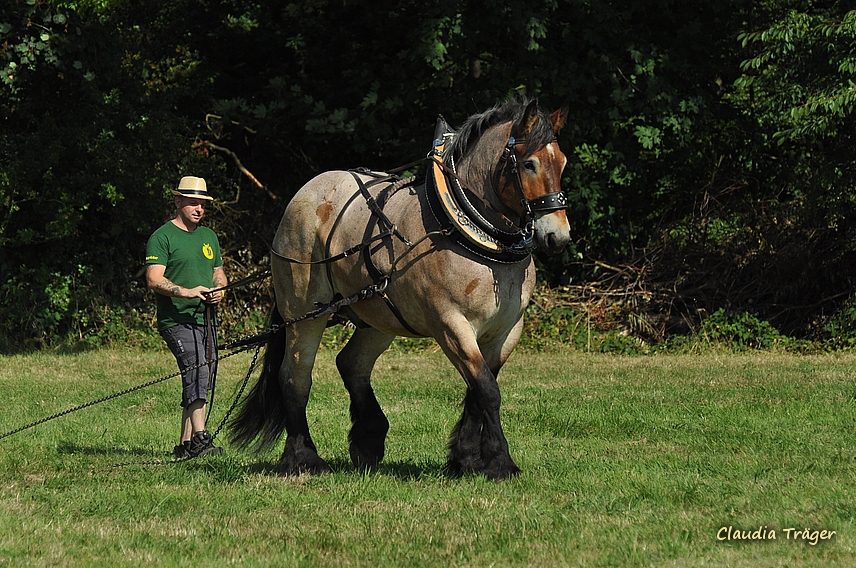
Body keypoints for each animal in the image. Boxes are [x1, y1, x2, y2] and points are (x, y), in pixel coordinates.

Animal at [231, 98, 572, 480]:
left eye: (562, 162)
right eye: (529, 164)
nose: (558, 237)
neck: (469, 234)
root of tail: (305, 193)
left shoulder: (508, 330)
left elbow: (477, 391)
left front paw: (466, 458)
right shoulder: (451, 325)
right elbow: (487, 389)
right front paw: (500, 461)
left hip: (378, 316)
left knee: (351, 364)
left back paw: (369, 438)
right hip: (304, 313)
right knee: (295, 377)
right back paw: (304, 457)